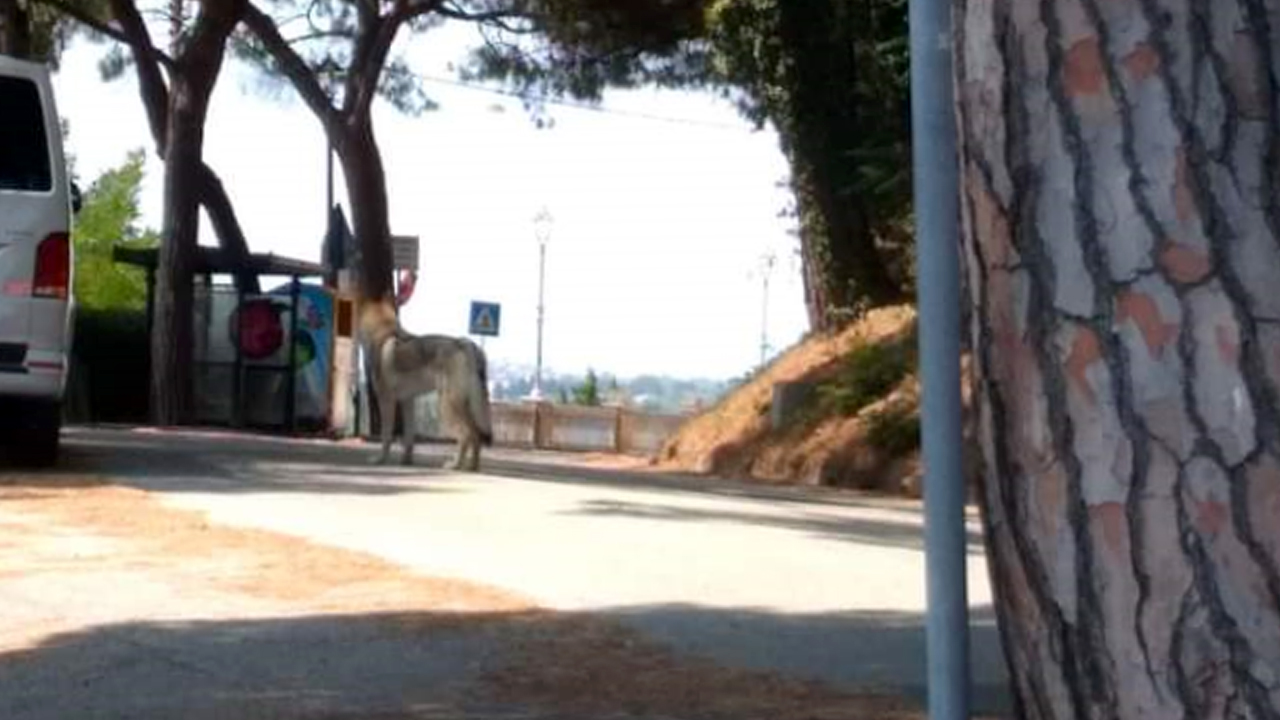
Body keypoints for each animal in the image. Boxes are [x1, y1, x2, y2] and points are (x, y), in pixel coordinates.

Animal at [366, 298, 499, 471]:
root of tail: (467, 344)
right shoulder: (408, 400)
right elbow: (409, 438)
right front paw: (406, 461)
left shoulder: (386, 400)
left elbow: (386, 436)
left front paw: (381, 459)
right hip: (465, 405)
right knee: (476, 435)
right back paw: (472, 467)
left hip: (446, 407)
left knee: (466, 435)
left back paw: (455, 465)